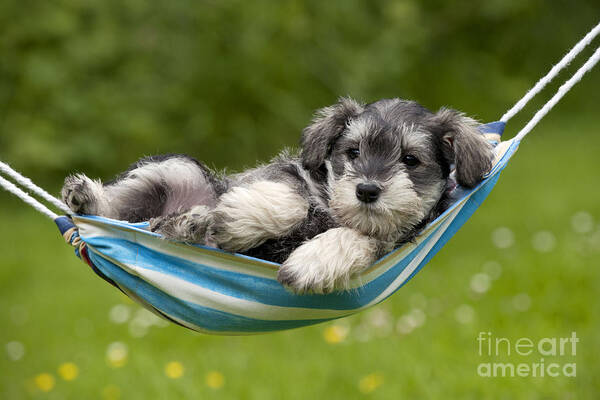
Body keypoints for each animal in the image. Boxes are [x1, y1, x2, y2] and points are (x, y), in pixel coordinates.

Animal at [61, 97, 492, 294]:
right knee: (117, 205)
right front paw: (234, 220)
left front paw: (312, 262)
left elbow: (361, 238)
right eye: (353, 152)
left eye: (411, 159)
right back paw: (87, 199)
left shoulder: (389, 242)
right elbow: (293, 200)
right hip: (178, 170)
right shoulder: (281, 175)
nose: (367, 190)